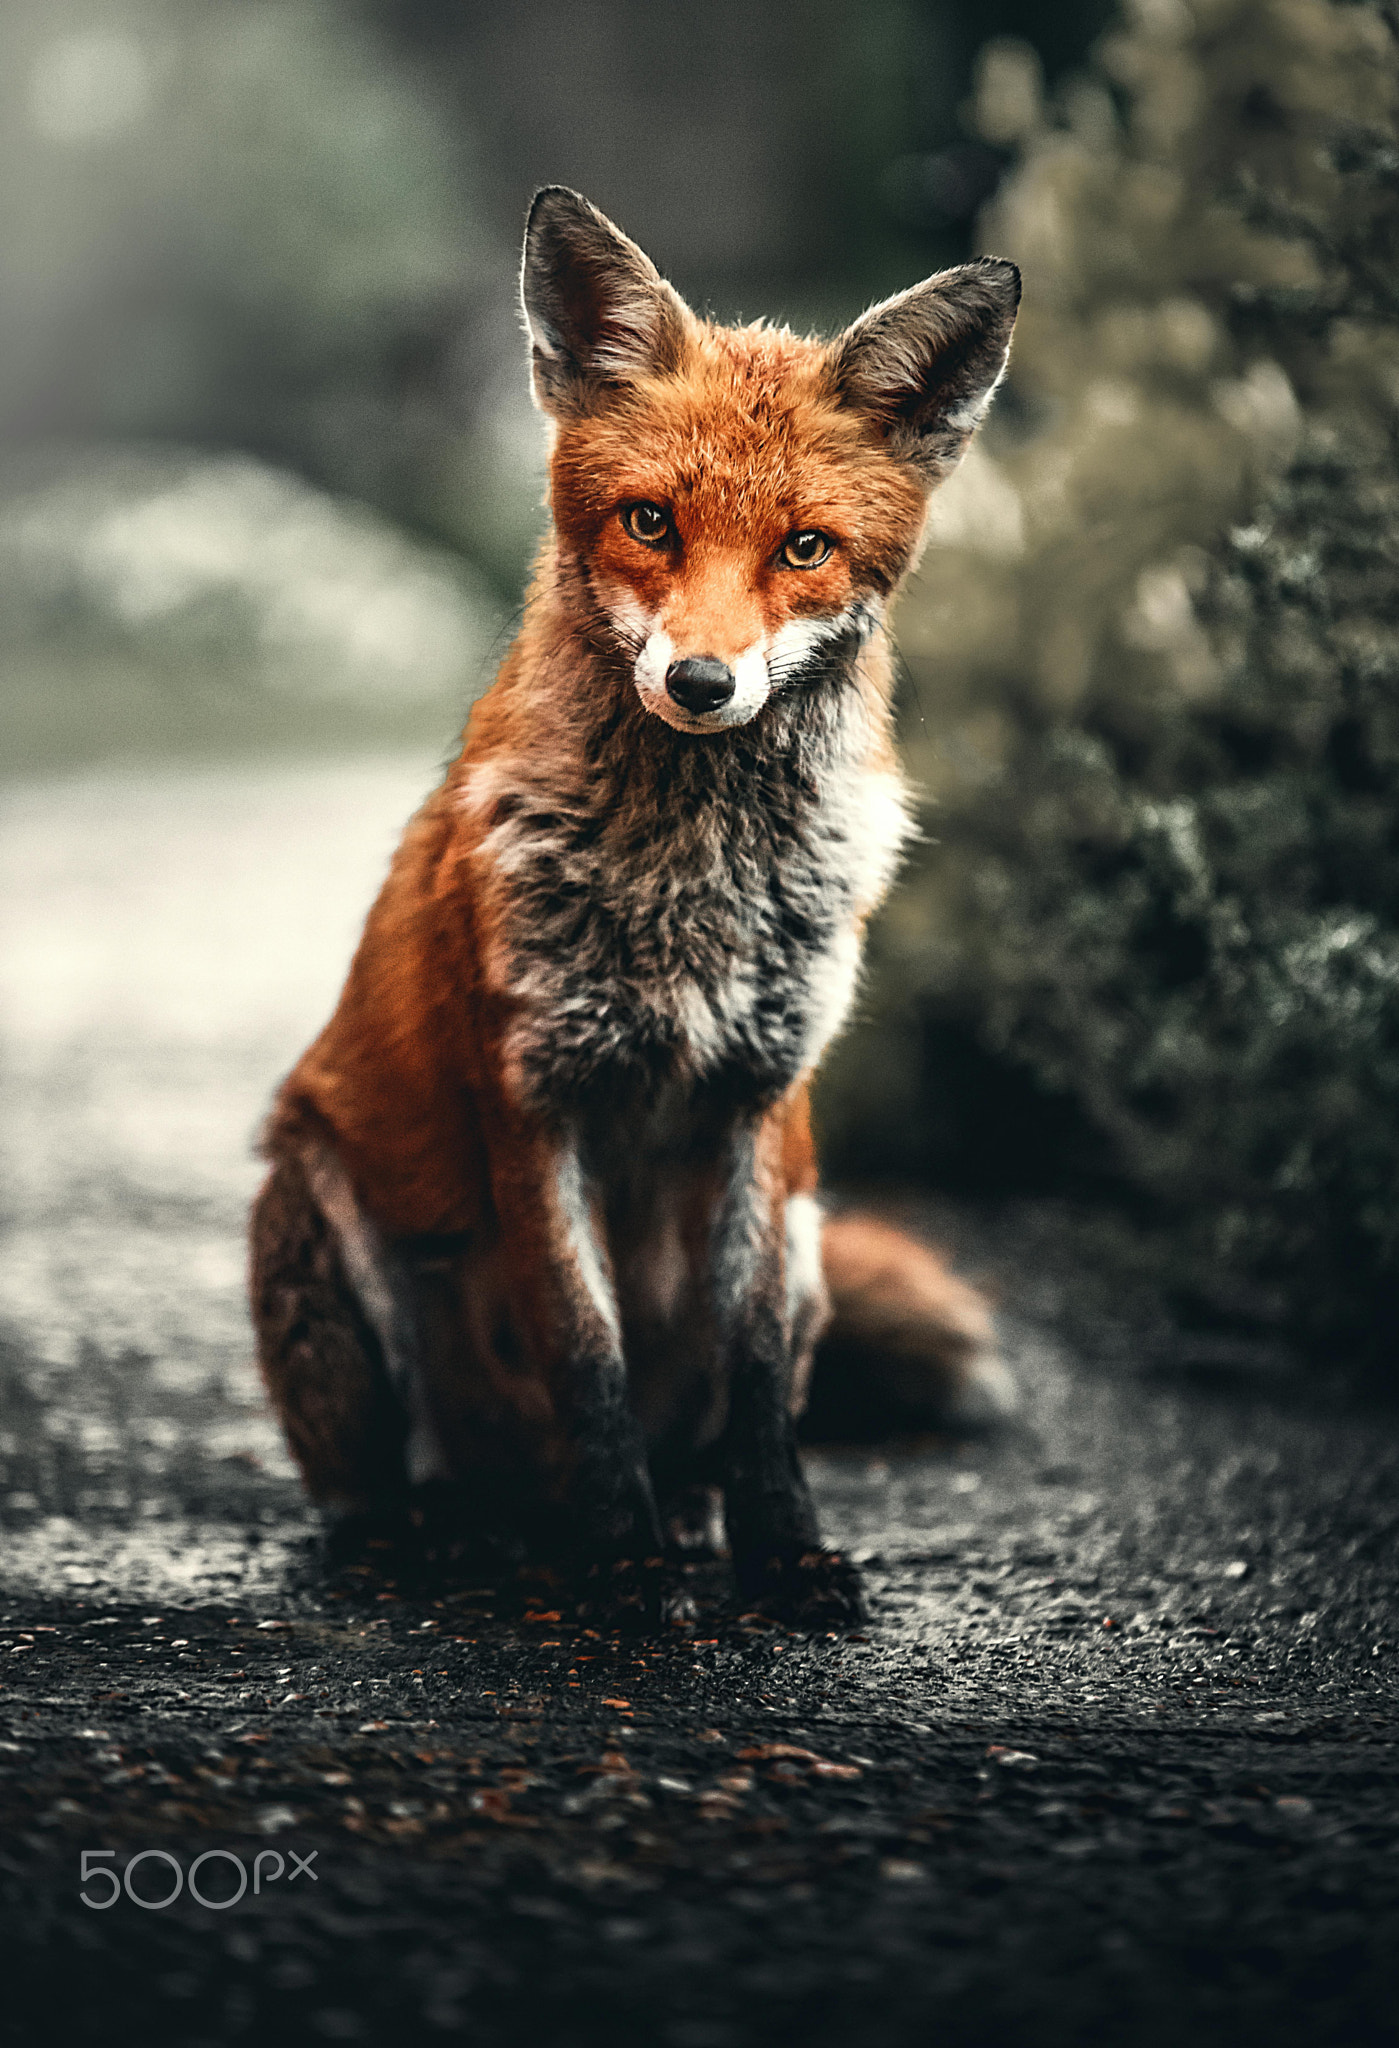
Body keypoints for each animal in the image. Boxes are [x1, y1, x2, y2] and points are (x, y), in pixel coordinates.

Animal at [251, 192, 1015, 1630]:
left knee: (705, 1431)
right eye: (650, 522)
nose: (703, 682)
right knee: (385, 1487)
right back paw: (441, 1538)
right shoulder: (533, 1096)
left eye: (804, 547)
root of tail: (506, 1502)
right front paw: (623, 1569)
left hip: (812, 1233)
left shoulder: (762, 1104)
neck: (691, 888)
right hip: (317, 1210)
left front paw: (782, 1553)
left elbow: (758, 1380)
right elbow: (585, 1353)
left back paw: (682, 1520)